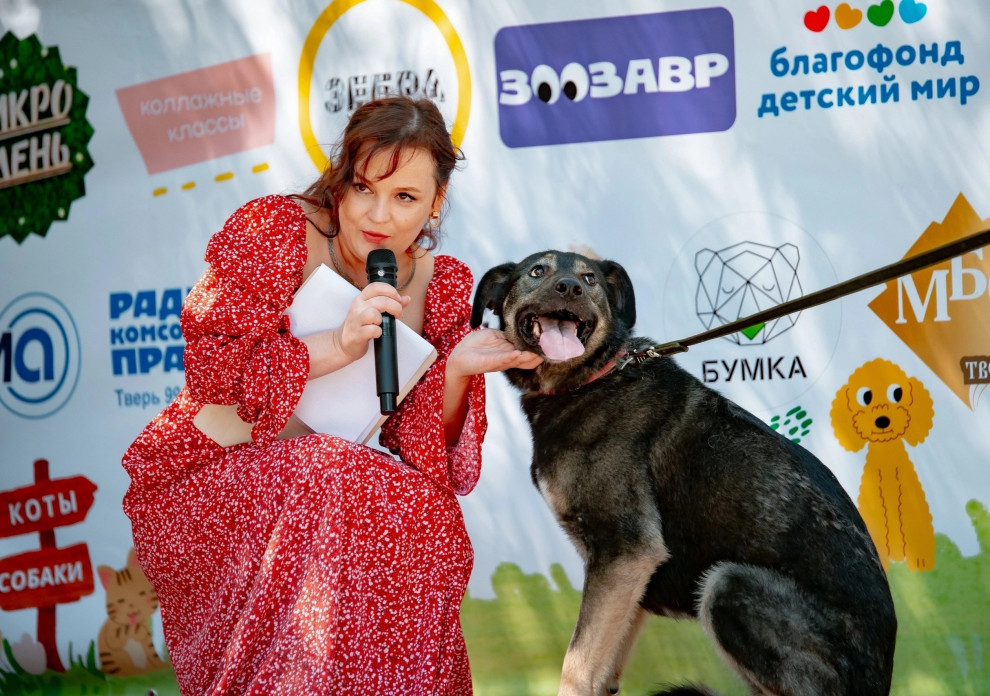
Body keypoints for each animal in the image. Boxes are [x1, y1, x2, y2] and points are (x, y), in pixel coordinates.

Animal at [472, 251, 900, 696]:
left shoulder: (625, 551)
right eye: (537, 271)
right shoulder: (629, 576)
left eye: (589, 279)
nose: (570, 287)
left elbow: (575, 667)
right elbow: (602, 667)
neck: (595, 377)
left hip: (727, 585)